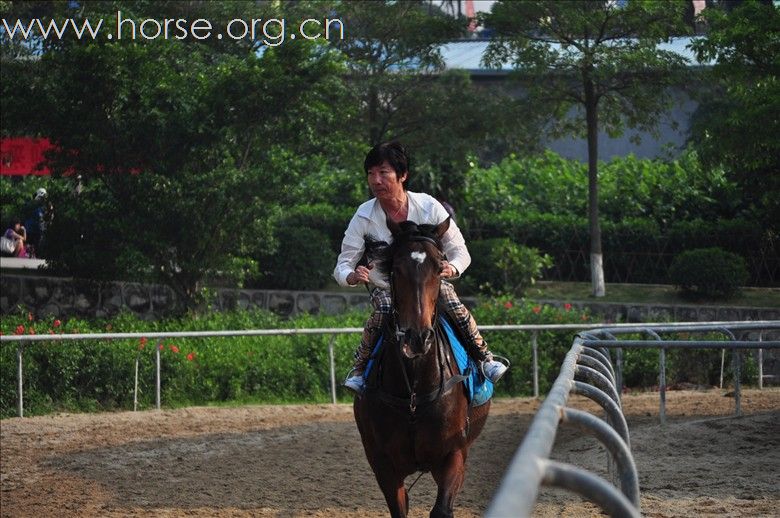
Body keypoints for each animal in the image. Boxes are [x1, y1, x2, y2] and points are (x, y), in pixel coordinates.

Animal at [352, 218, 488, 518]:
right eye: (396, 269)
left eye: (439, 267)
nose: (417, 337)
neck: (414, 392)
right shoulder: (383, 464)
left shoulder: (454, 454)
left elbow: (441, 509)